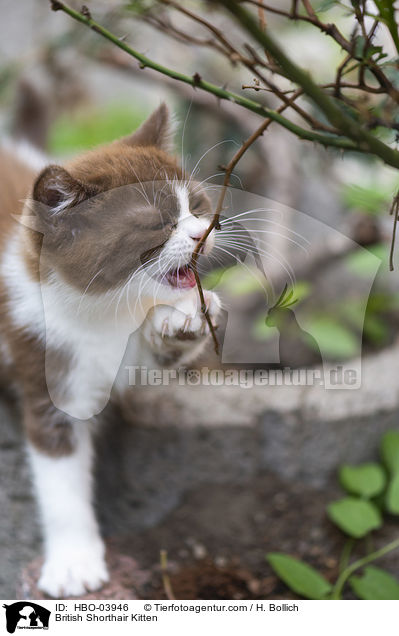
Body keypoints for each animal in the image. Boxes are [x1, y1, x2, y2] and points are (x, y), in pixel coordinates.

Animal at [0, 104, 222, 596]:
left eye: (197, 205)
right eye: (157, 221)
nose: (205, 232)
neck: (102, 310)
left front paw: (185, 318)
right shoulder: (40, 349)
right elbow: (58, 468)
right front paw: (72, 565)